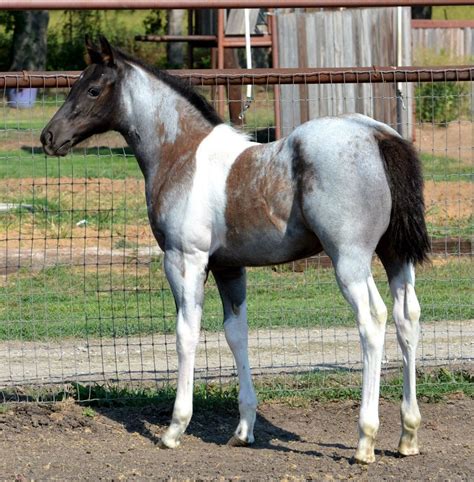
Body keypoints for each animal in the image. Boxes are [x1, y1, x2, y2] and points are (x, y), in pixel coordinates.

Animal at [40, 37, 430, 464]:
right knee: (407, 318)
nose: (49, 137)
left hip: (350, 260)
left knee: (373, 321)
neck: (181, 154)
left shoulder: (185, 260)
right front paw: (244, 429)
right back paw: (408, 435)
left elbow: (186, 332)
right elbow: (236, 334)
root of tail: (378, 135)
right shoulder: (229, 268)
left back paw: (365, 440)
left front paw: (175, 428)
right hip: (395, 256)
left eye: (93, 89)